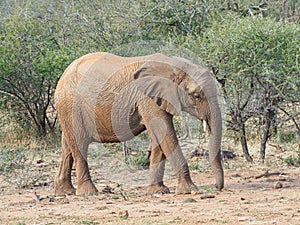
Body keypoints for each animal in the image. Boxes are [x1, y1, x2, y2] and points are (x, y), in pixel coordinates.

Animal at [54, 52, 224, 195]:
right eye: (197, 96)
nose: (217, 187)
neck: (172, 66)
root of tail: (63, 75)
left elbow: (159, 137)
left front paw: (158, 191)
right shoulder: (148, 99)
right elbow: (165, 133)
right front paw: (189, 190)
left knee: (67, 145)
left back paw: (65, 192)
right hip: (71, 105)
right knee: (79, 143)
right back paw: (89, 193)